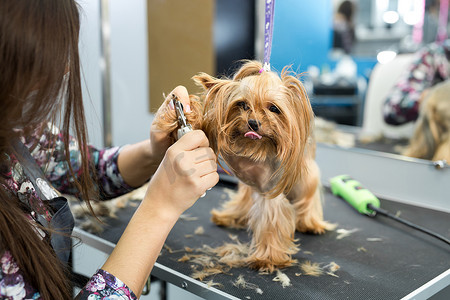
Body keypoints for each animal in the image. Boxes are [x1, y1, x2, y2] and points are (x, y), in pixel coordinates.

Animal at [192, 61, 336, 272]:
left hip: (306, 171)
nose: (253, 123)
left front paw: (267, 258)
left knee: (309, 193)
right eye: (243, 105)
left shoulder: (271, 189)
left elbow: (271, 219)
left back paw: (311, 223)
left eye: (274, 108)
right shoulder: (247, 177)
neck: (258, 149)